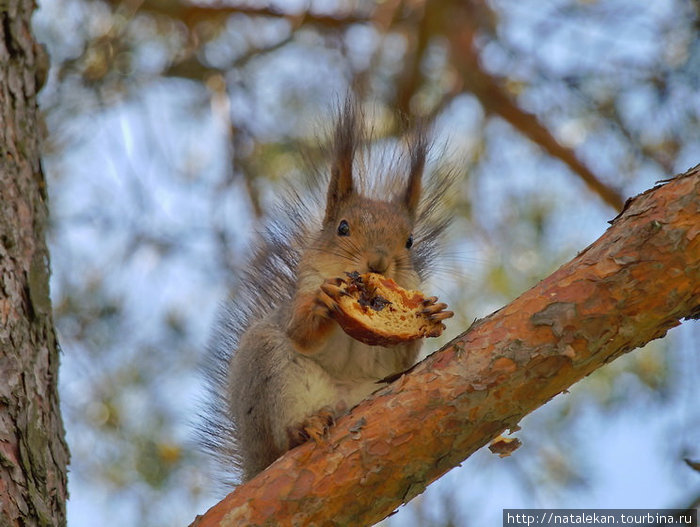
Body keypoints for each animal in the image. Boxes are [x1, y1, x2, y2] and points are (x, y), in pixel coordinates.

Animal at [200, 101, 456, 484]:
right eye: (343, 228)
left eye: (410, 241)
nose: (379, 262)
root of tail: (253, 464)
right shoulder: (298, 304)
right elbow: (302, 333)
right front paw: (322, 304)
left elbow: (399, 357)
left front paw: (430, 311)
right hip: (269, 373)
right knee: (283, 439)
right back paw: (302, 428)